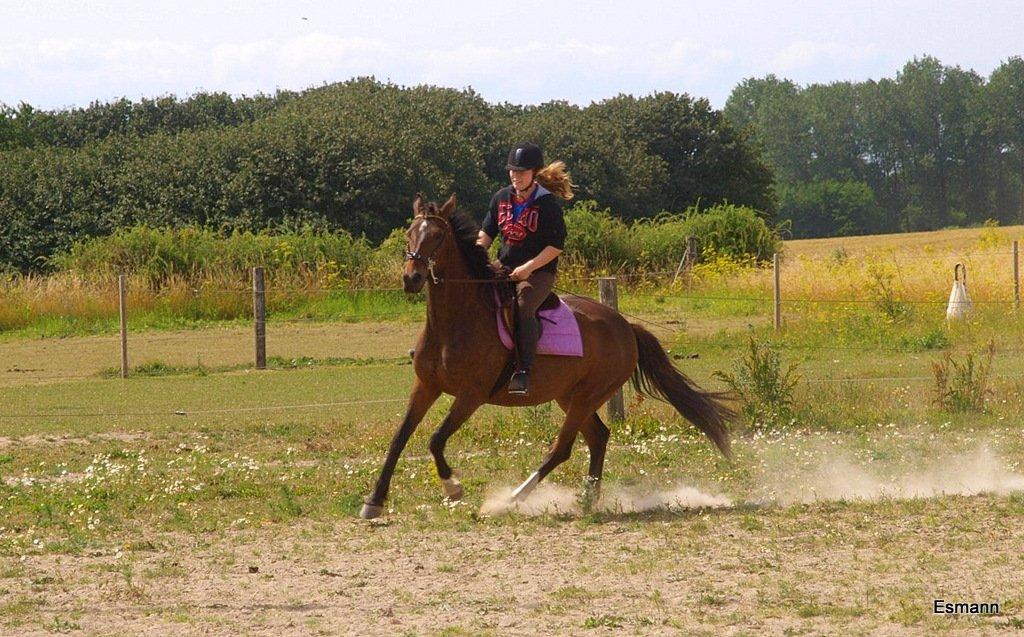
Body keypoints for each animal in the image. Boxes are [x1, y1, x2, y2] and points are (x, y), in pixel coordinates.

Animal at [356, 194, 733, 520]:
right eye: (410, 232)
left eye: (437, 235)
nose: (411, 278)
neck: (453, 323)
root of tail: (626, 327)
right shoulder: (426, 386)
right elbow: (399, 439)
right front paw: (374, 501)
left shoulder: (471, 395)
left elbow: (435, 439)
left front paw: (453, 487)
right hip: (571, 397)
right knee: (598, 437)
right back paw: (587, 499)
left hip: (587, 396)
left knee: (562, 448)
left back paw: (510, 499)